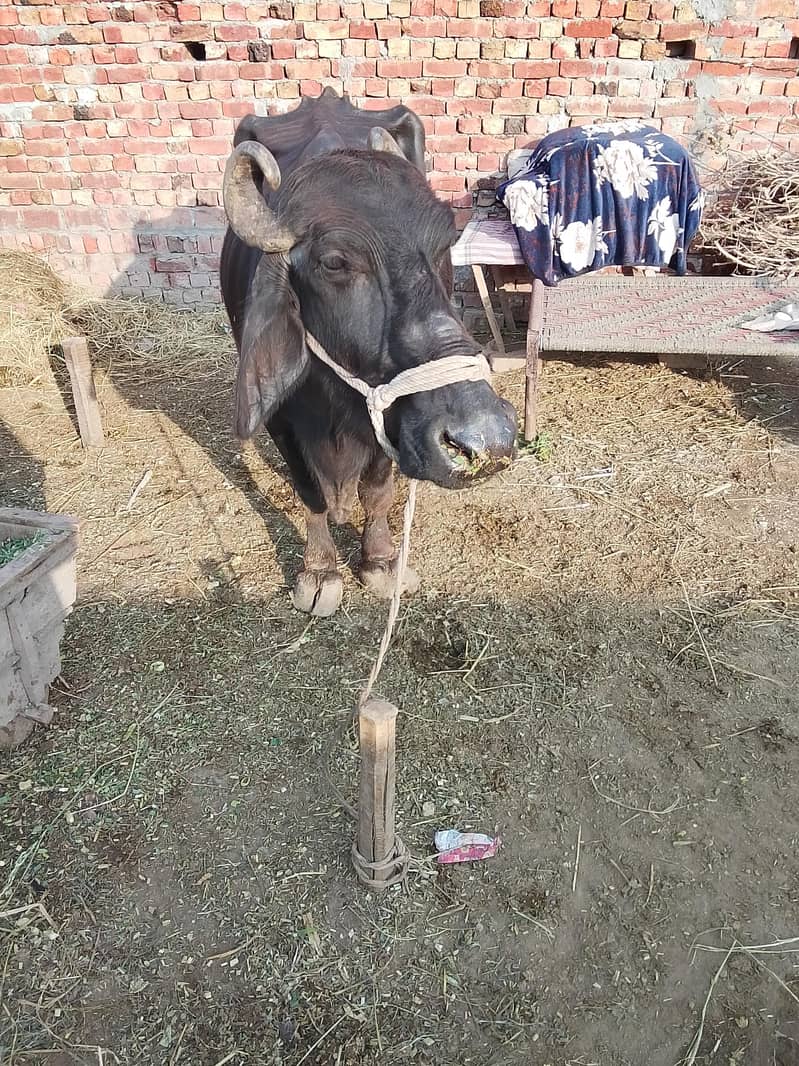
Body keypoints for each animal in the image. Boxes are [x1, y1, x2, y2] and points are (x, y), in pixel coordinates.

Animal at [220, 88, 517, 616]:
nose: (488, 438)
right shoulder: (280, 422)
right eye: (335, 262)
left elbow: (377, 491)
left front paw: (379, 562)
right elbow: (309, 492)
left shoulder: (389, 418)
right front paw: (320, 570)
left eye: (442, 244)